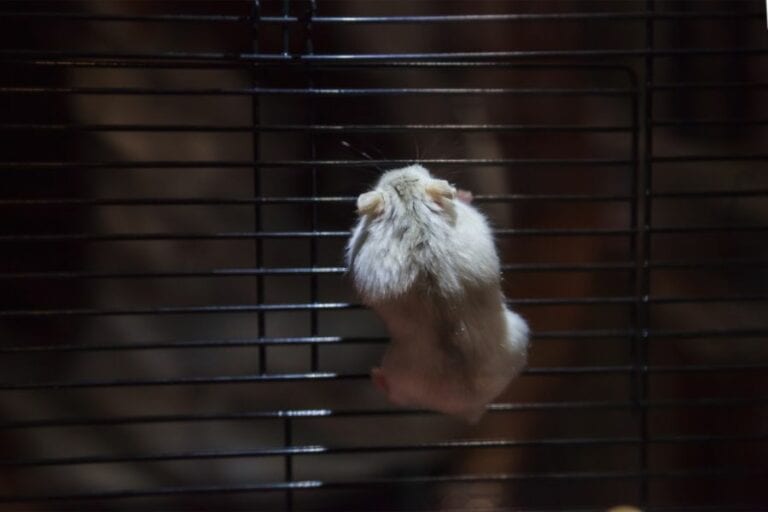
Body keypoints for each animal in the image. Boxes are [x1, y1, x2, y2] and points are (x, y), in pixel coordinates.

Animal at [346, 164, 529, 423]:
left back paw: (374, 374)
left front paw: (462, 193)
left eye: (415, 175)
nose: (398, 169)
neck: (409, 206)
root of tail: (471, 408)